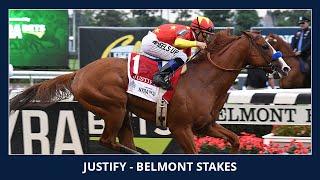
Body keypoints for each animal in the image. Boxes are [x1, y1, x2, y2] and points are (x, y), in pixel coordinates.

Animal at [10, 30, 290, 153]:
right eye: (264, 46)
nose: (285, 67)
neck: (204, 81)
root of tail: (78, 73)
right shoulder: (180, 127)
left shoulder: (206, 125)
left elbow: (234, 140)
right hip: (112, 107)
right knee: (108, 141)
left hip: (122, 113)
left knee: (119, 141)